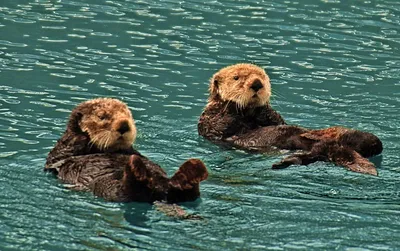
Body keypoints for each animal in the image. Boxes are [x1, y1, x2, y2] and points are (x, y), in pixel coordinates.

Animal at [46, 97, 209, 203]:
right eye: (102, 116)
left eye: (128, 116)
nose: (124, 125)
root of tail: (160, 192)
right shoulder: (61, 152)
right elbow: (62, 154)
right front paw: (84, 135)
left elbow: (136, 153)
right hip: (108, 187)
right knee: (128, 192)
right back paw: (136, 168)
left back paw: (193, 169)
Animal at [198, 63, 382, 176]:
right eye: (236, 78)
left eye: (262, 77)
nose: (257, 84)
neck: (249, 116)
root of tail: (335, 148)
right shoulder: (211, 122)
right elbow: (222, 124)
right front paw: (233, 105)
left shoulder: (274, 119)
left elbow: (276, 120)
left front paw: (263, 108)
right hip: (323, 152)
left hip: (361, 140)